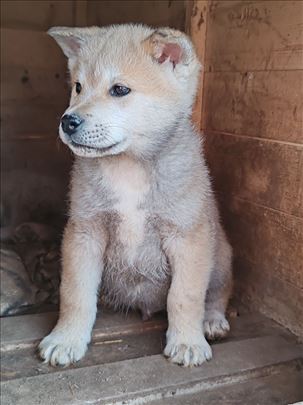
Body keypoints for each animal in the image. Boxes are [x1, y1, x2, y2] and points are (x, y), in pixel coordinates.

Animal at [38, 24, 233, 366]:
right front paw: (66, 339)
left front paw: (187, 342)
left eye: (119, 90)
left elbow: (185, 296)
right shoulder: (85, 232)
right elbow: (75, 293)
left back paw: (212, 321)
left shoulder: (188, 238)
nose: (68, 121)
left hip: (220, 254)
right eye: (78, 87)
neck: (128, 167)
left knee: (218, 293)